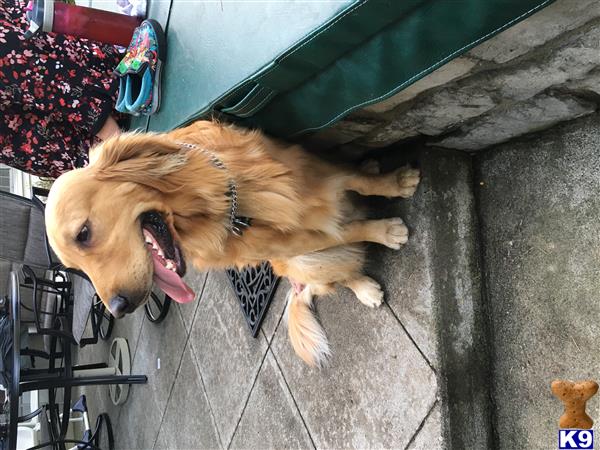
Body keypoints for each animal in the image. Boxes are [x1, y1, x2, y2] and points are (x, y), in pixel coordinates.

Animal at [44, 119, 420, 366]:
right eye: (75, 269)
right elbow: (348, 231)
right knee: (337, 276)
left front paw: (395, 183)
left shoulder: (314, 172)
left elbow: (359, 181)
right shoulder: (295, 242)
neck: (218, 208)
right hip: (301, 263)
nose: (120, 308)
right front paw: (386, 231)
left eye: (83, 234)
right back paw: (365, 288)